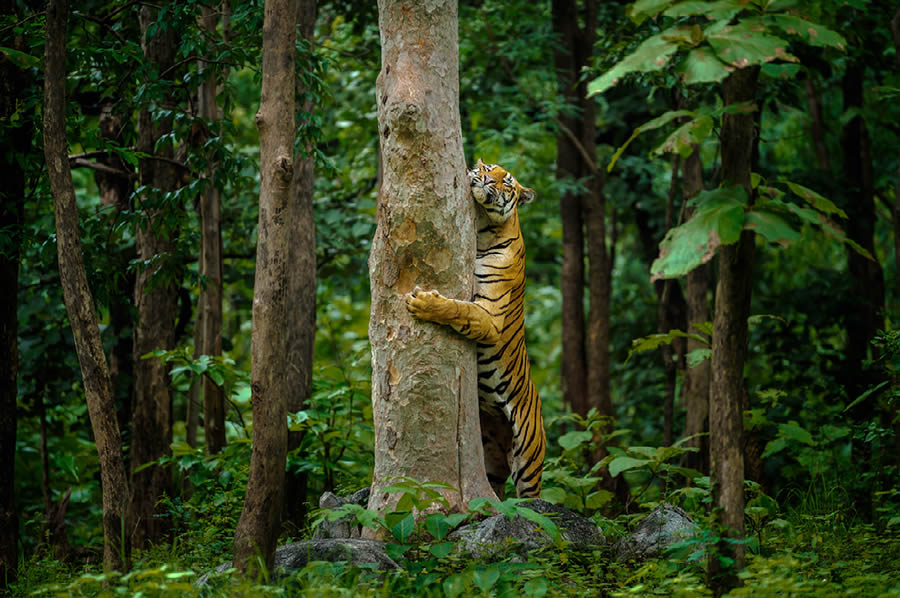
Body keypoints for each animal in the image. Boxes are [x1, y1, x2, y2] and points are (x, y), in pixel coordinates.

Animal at [404, 159, 544, 502]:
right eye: (491, 168)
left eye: (507, 182)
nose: (486, 179)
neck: (483, 228)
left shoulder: (489, 316)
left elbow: (459, 309)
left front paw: (423, 303)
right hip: (491, 456)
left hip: (528, 462)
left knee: (532, 500)